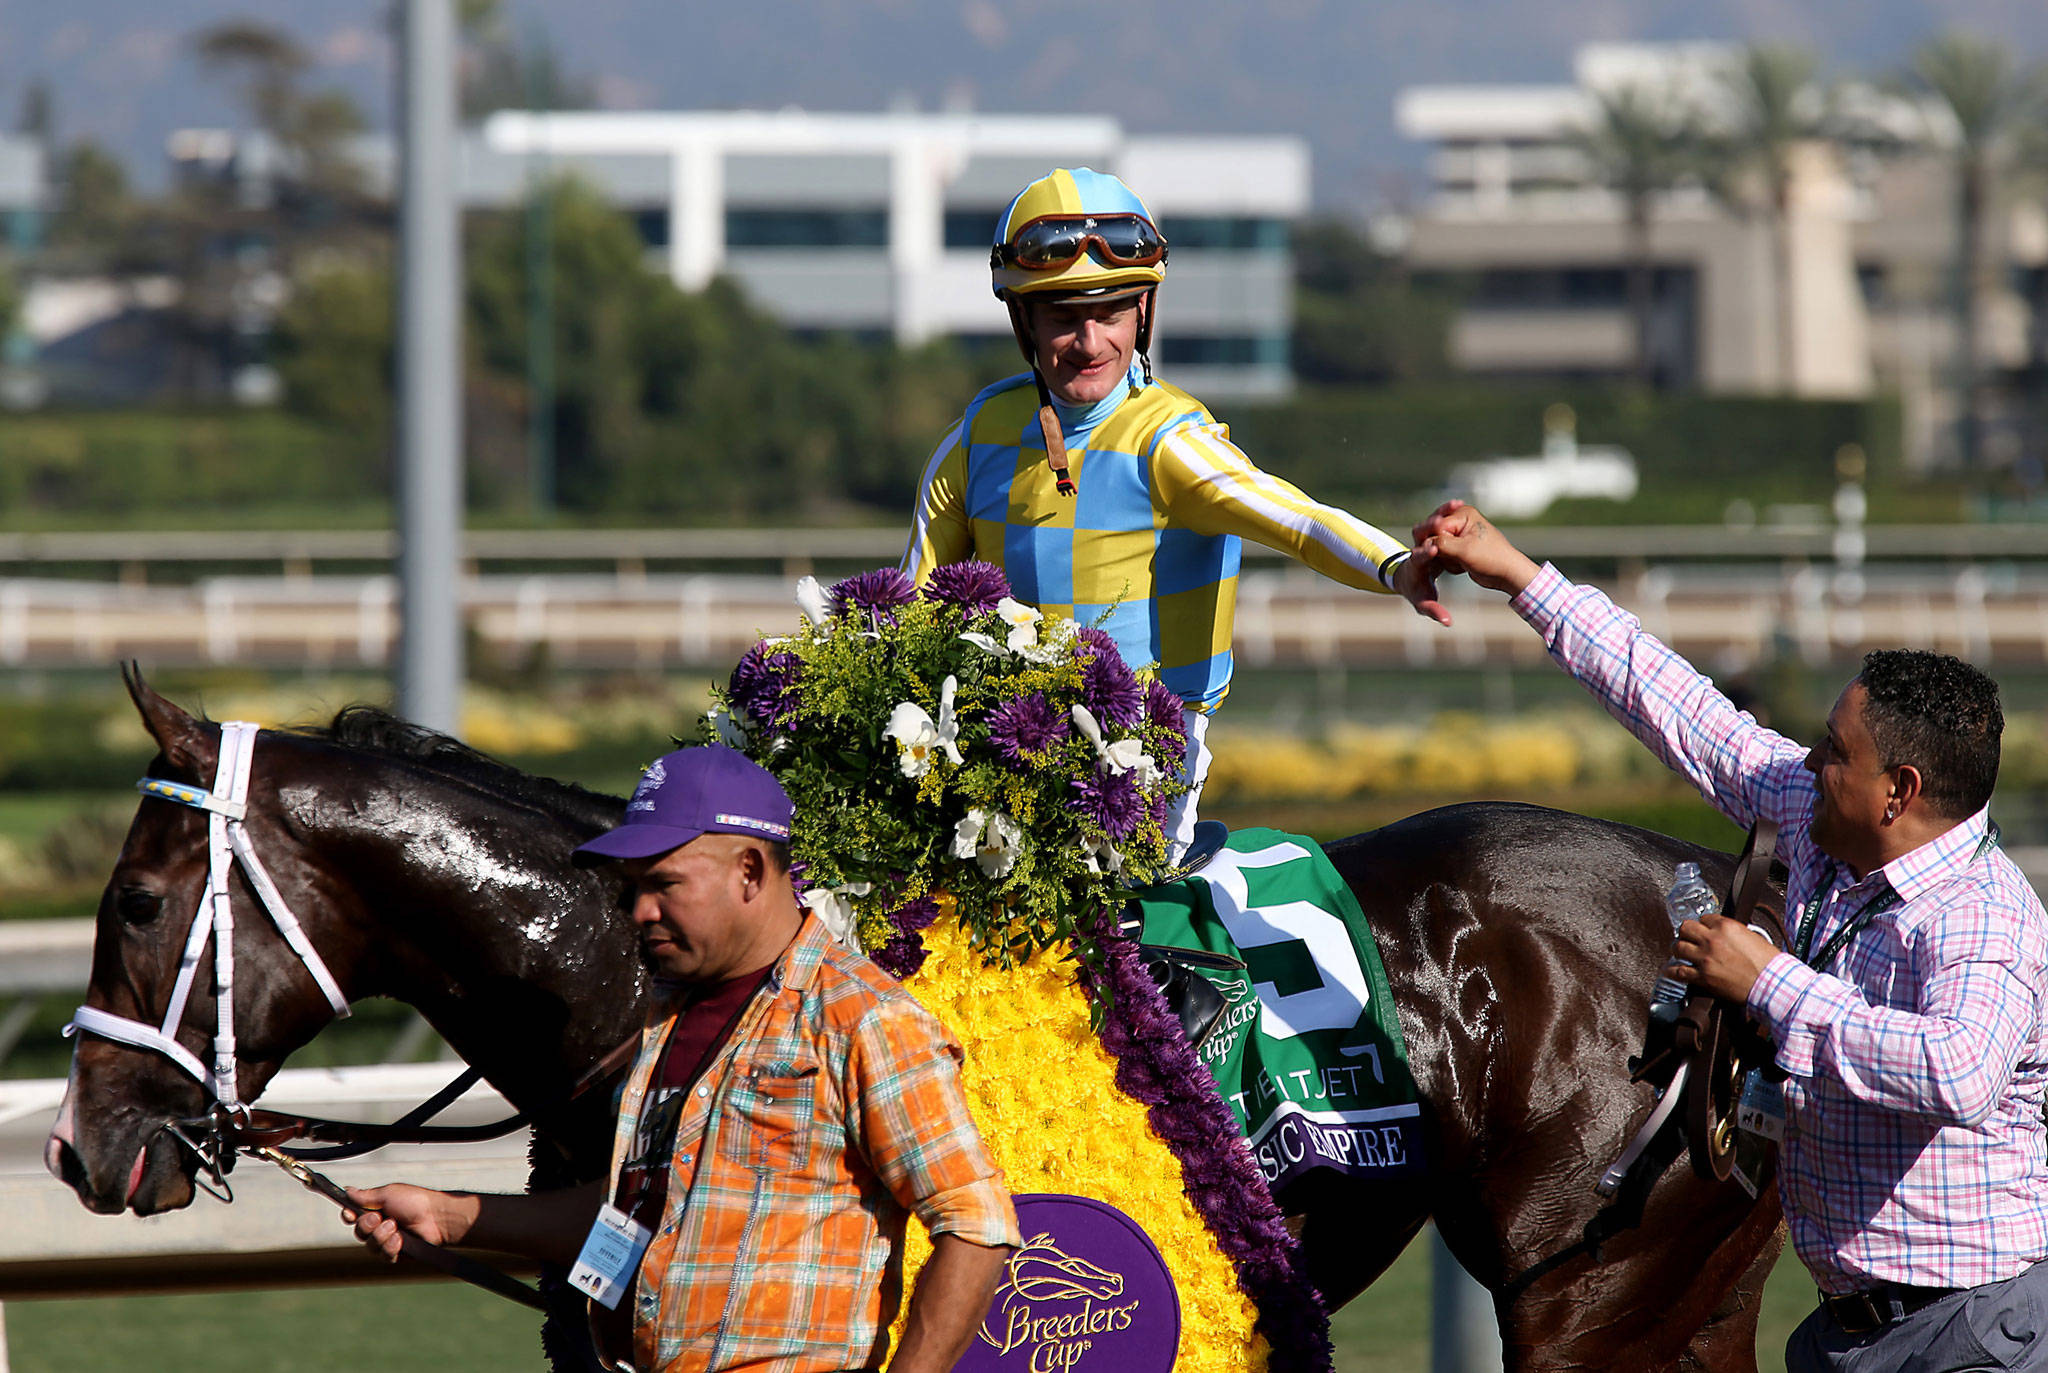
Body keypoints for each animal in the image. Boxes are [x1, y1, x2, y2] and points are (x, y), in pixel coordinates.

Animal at [48, 684, 1777, 1368]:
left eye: (131, 901)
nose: (78, 1146)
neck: (638, 981)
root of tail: (1709, 885)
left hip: (1588, 1287)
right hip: (1679, 1281)